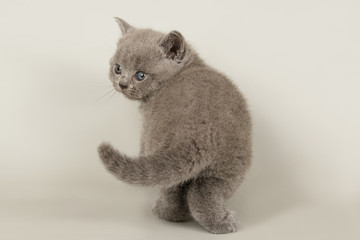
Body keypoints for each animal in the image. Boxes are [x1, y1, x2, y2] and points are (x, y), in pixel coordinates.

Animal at [97, 17, 252, 234]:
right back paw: (223, 224)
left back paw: (163, 212)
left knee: (174, 191)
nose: (122, 84)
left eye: (140, 75)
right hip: (230, 163)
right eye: (117, 68)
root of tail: (199, 134)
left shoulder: (146, 127)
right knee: (202, 193)